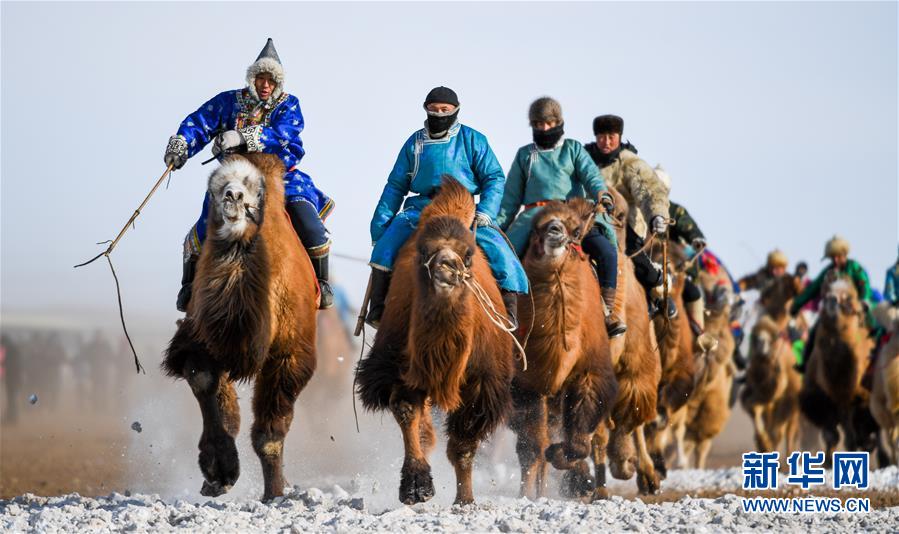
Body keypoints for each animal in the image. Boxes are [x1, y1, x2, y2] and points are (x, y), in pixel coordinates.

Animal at [162, 154, 320, 502]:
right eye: (214, 187)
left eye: (255, 191)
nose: (232, 196)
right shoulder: (202, 337)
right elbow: (205, 382)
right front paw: (219, 471)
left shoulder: (289, 353)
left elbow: (269, 435)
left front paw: (274, 495)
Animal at [356, 177, 516, 506]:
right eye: (422, 251)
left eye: (468, 254)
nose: (445, 269)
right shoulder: (399, 368)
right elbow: (408, 413)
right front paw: (416, 486)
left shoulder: (482, 384)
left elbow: (464, 444)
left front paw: (465, 500)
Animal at [510, 198, 624, 502]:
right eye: (535, 228)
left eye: (575, 231)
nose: (555, 231)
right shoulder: (526, 384)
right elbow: (531, 447)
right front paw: (527, 493)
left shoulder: (589, 372)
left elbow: (578, 441)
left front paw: (578, 476)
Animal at [740, 276, 800, 460]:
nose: (761, 343)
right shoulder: (759, 390)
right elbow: (752, 407)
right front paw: (763, 445)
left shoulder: (786, 396)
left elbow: (777, 431)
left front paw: (767, 446)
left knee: (789, 431)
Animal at [800, 278, 880, 466]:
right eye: (825, 294)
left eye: (849, 299)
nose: (832, 299)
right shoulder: (827, 402)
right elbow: (833, 436)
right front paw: (828, 464)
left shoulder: (855, 401)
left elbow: (857, 435)